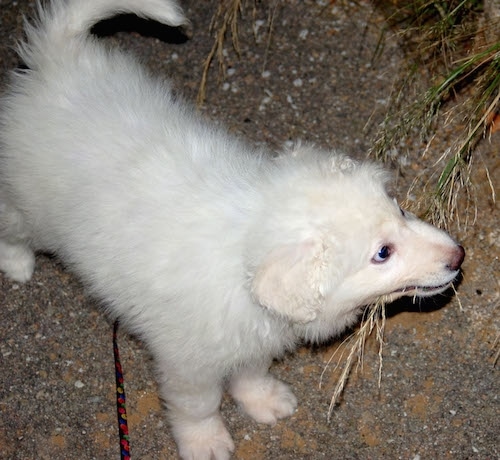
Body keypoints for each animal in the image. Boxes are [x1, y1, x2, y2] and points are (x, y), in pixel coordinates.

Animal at [0, 1, 464, 458]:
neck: (243, 250)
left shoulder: (254, 339)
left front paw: (264, 401)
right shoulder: (187, 362)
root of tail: (57, 60)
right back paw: (17, 263)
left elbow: (251, 373)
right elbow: (199, 405)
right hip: (27, 207)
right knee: (11, 225)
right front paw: (205, 443)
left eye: (400, 210)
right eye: (382, 253)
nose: (459, 256)